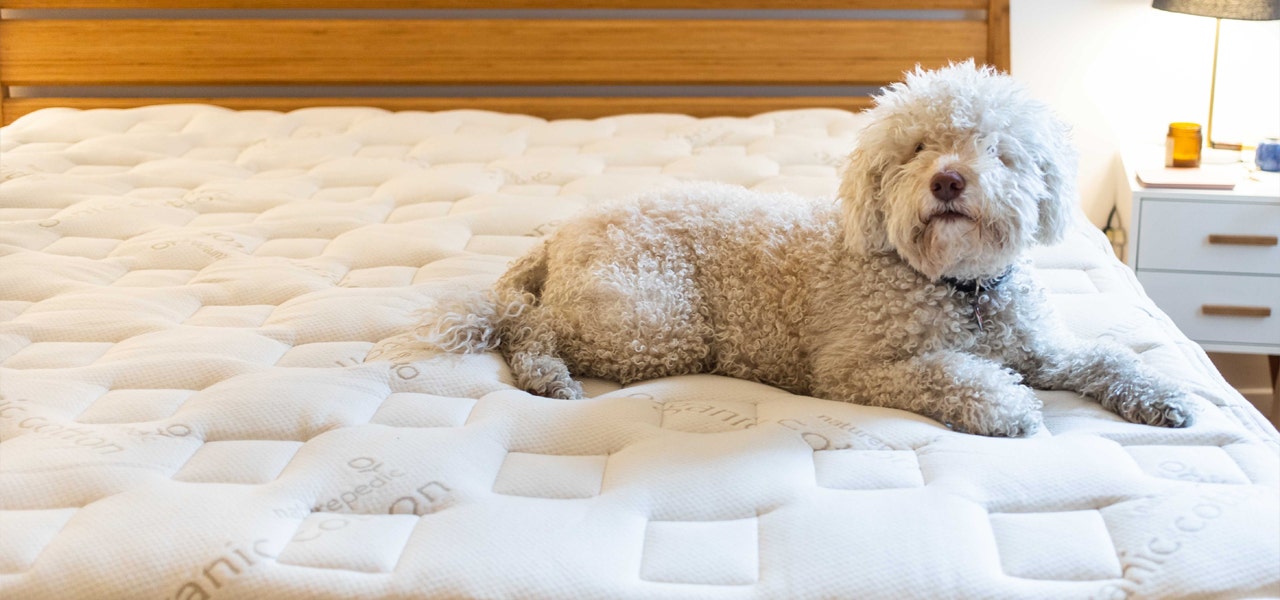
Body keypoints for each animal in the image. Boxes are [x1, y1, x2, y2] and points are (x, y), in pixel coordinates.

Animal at [424, 62, 1192, 434]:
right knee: (525, 324)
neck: (958, 285)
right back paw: (547, 375)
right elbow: (950, 374)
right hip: (651, 320)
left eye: (998, 150)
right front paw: (1006, 407)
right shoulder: (857, 370)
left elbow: (1108, 358)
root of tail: (563, 233)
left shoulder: (1043, 348)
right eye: (917, 148)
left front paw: (1161, 396)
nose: (948, 180)